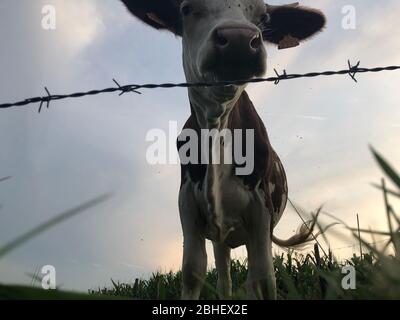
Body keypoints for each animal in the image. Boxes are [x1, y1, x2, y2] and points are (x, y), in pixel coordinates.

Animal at [120, 0, 326, 300]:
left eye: (264, 17)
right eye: (186, 9)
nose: (239, 38)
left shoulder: (260, 212)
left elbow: (264, 277)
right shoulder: (187, 205)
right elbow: (193, 270)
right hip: (221, 236)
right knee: (224, 278)